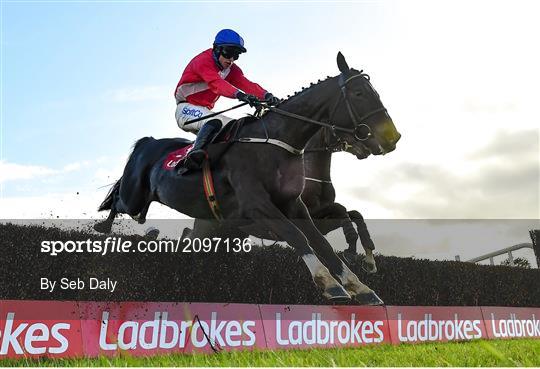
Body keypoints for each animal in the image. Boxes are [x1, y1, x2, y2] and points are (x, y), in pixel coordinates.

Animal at [94, 53, 400, 304]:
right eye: (359, 93)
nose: (391, 137)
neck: (275, 143)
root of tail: (149, 141)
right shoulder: (257, 205)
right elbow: (297, 234)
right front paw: (329, 283)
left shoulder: (295, 205)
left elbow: (322, 239)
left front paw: (360, 285)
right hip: (135, 197)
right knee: (119, 199)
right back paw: (103, 227)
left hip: (208, 224)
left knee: (185, 237)